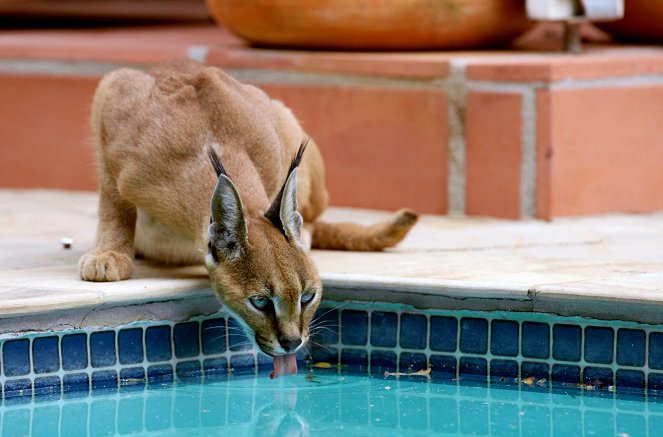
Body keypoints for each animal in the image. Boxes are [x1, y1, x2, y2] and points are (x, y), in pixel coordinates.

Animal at [79, 59, 420, 376]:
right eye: (260, 302)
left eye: (308, 297)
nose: (292, 343)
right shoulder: (113, 93)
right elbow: (113, 202)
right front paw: (109, 254)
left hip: (289, 122)